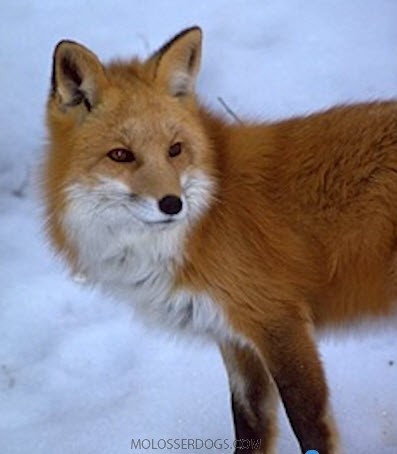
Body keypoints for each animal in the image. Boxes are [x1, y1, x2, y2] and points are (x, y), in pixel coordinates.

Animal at [43, 26, 396, 452]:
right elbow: (250, 423)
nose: (172, 204)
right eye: (121, 155)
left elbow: (310, 427)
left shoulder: (279, 322)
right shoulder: (234, 338)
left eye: (175, 150)